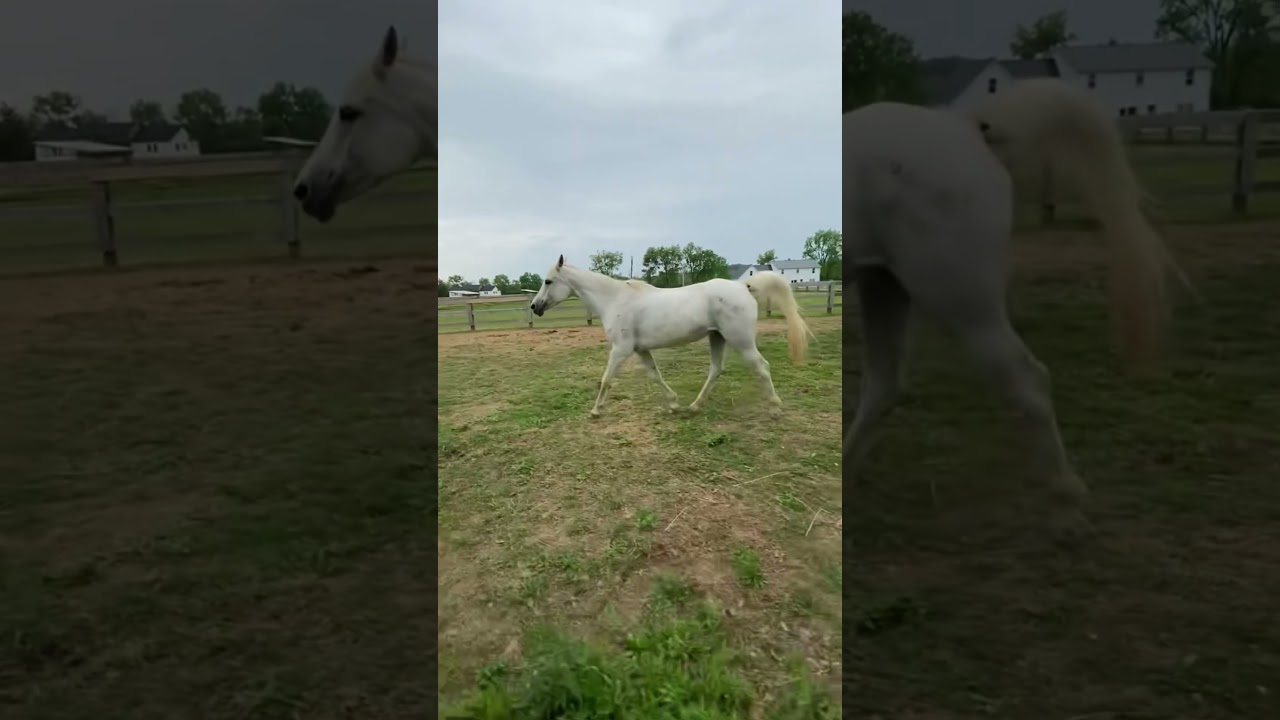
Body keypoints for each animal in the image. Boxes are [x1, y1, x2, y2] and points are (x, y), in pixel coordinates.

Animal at [528, 256, 816, 419]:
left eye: (548, 281)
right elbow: (655, 375)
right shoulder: (640, 350)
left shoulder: (620, 350)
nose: (534, 306)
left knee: (761, 367)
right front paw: (674, 404)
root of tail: (742, 286)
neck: (615, 300)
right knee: (716, 369)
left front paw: (596, 411)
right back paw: (694, 407)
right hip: (717, 338)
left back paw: (775, 409)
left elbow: (606, 380)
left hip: (740, 340)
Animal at [843, 78, 1186, 536]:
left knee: (1028, 380)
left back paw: (1066, 499)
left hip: (960, 301)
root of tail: (965, 124)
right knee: (883, 385)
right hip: (885, 287)